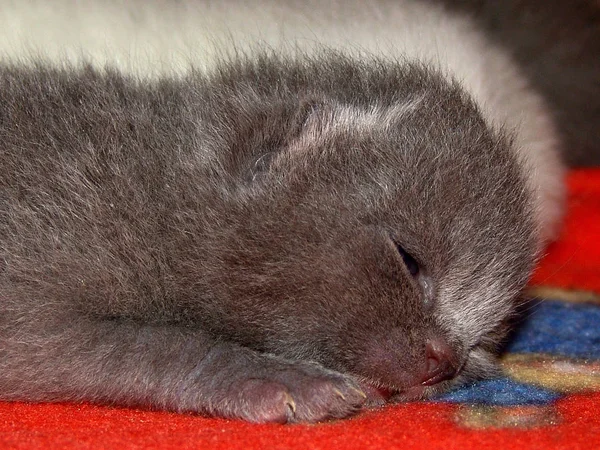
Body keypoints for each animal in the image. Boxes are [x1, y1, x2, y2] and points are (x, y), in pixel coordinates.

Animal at [0, 0, 592, 424]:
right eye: (408, 260)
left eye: (482, 344)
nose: (446, 359)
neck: (160, 184)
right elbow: (148, 342)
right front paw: (287, 382)